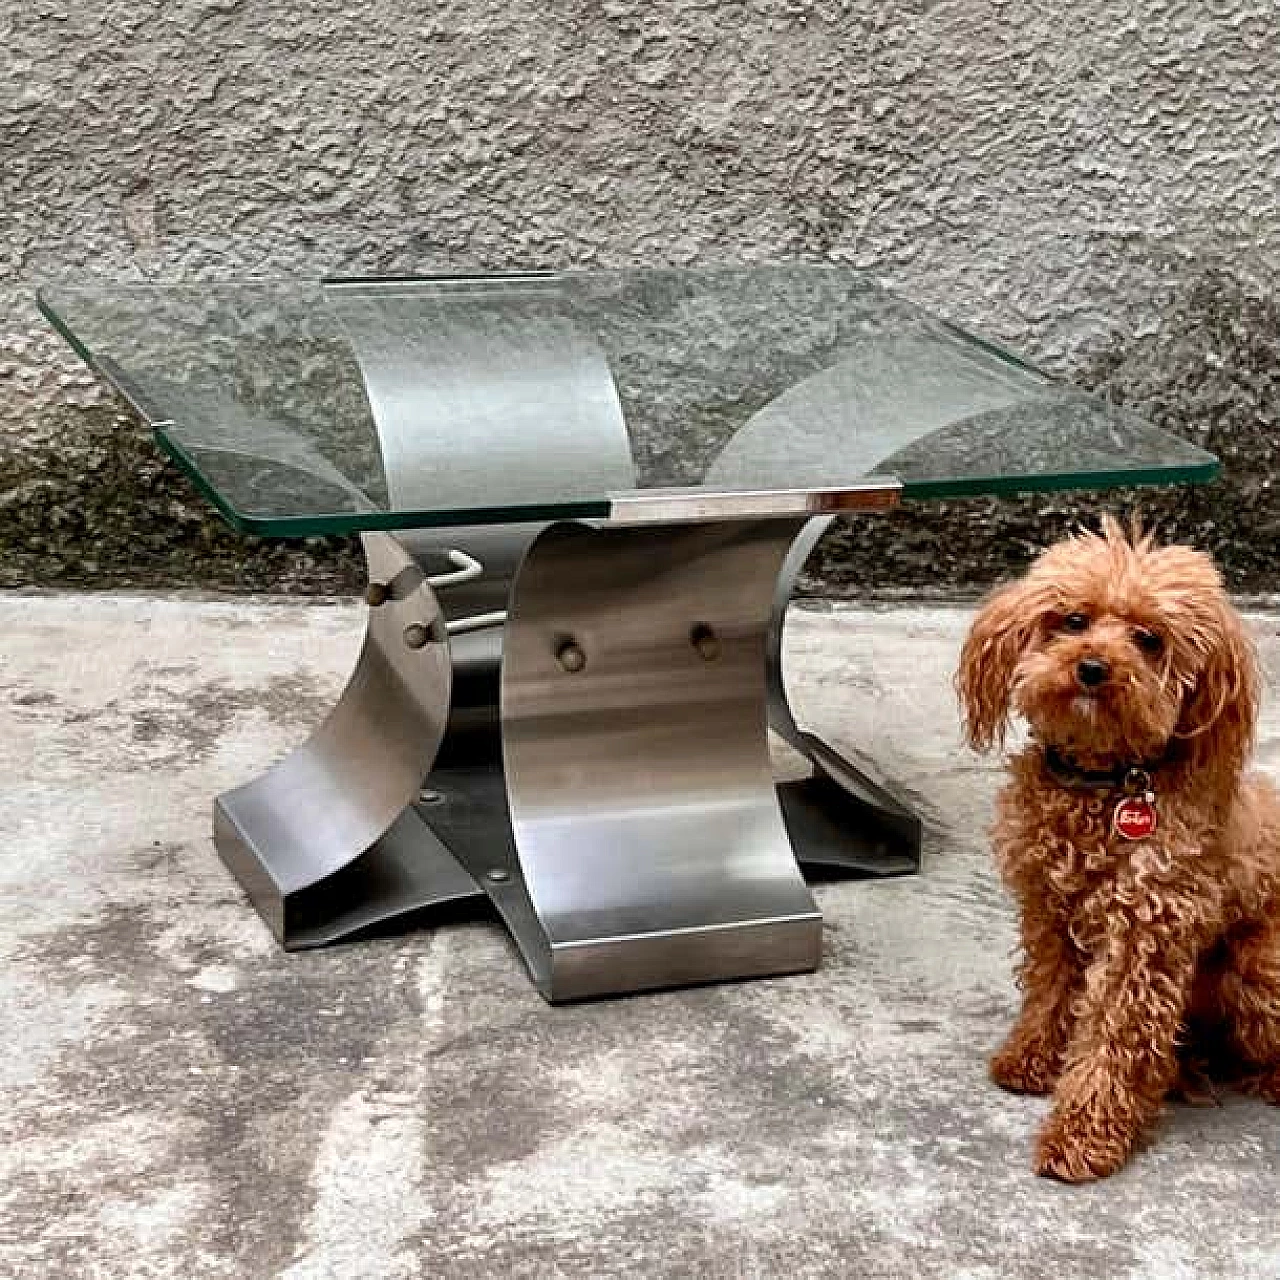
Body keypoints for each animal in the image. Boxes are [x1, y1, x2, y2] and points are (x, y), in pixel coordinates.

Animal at [957, 517, 1280, 1177]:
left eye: (1148, 639)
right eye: (1074, 620)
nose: (1092, 667)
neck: (1104, 785)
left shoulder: (1144, 933)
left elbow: (1115, 1035)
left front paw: (1081, 1135)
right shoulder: (1049, 915)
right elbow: (1051, 992)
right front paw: (1031, 1059)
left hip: (1257, 969)